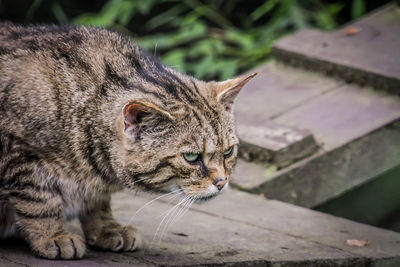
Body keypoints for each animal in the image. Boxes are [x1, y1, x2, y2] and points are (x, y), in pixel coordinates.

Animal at [0, 24, 256, 260]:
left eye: (228, 152)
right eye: (191, 157)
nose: (222, 182)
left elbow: (98, 203)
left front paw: (107, 228)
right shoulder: (20, 156)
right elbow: (39, 200)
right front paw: (54, 235)